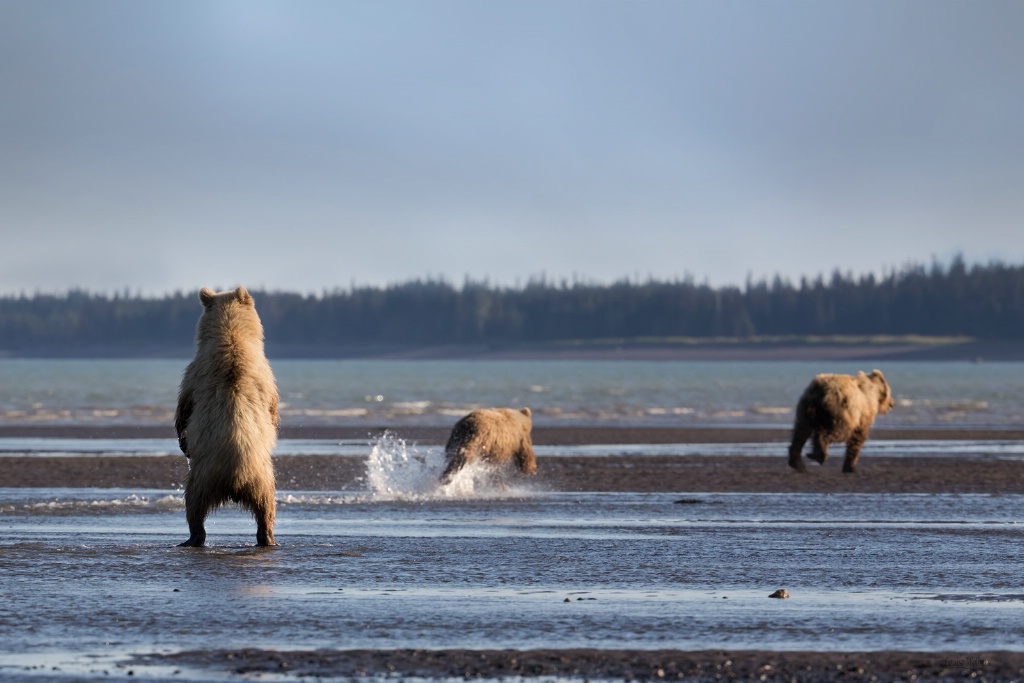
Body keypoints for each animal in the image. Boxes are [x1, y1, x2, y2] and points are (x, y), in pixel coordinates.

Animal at [174, 286, 280, 548]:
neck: (231, 335)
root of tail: (235, 478)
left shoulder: (196, 371)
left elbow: (185, 406)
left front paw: (182, 440)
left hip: (205, 475)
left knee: (193, 506)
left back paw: (191, 538)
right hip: (254, 478)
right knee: (264, 508)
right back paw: (267, 538)